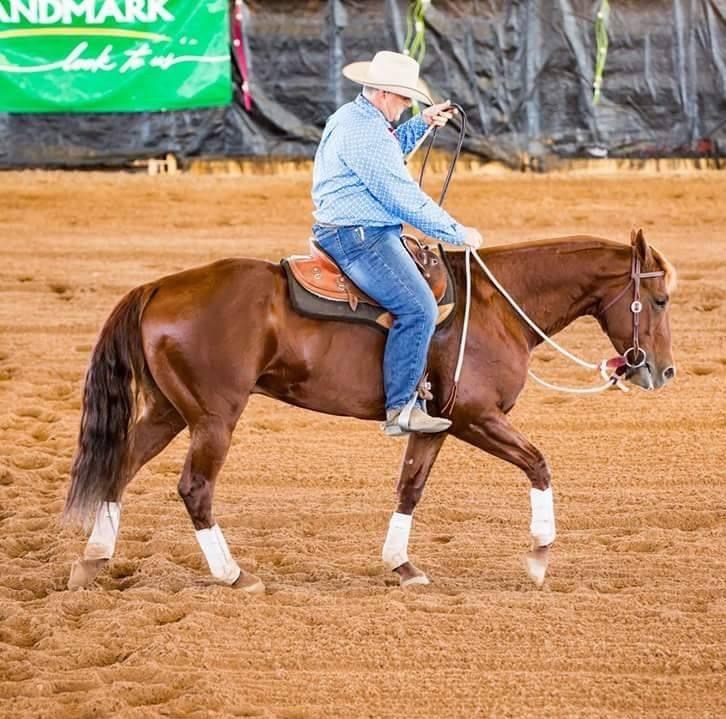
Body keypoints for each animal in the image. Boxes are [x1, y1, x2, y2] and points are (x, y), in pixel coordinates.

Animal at [63, 229, 676, 593]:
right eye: (661, 298)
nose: (663, 372)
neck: (498, 306)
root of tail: (158, 286)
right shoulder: (478, 417)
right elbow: (538, 463)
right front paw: (539, 554)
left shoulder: (437, 424)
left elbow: (410, 487)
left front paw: (402, 566)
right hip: (214, 418)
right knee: (194, 488)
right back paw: (234, 574)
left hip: (170, 411)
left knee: (120, 467)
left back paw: (93, 560)